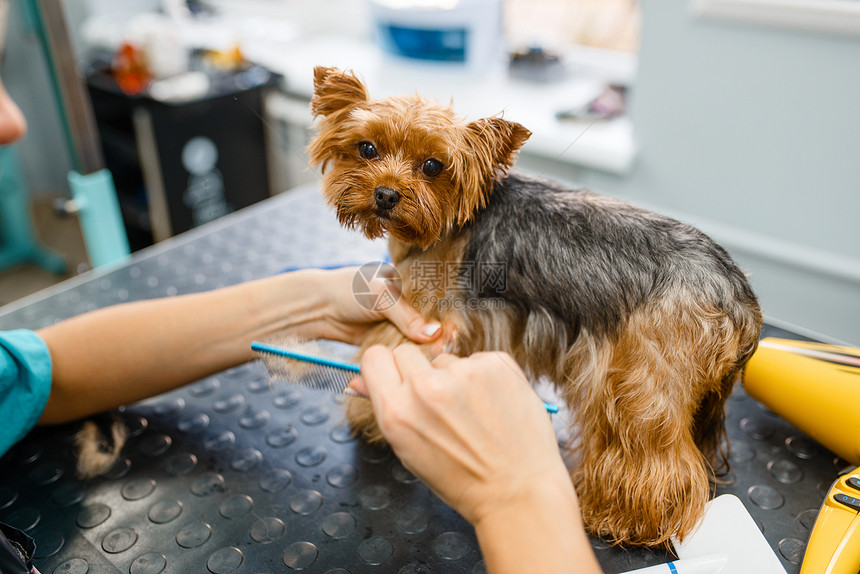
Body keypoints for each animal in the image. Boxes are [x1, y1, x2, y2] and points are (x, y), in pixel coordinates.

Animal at [306, 66, 764, 548]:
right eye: (366, 148)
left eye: (433, 166)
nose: (386, 195)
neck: (449, 222)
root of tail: (737, 295)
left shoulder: (429, 315)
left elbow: (390, 346)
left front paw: (371, 412)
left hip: (640, 380)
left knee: (655, 459)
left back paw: (622, 519)